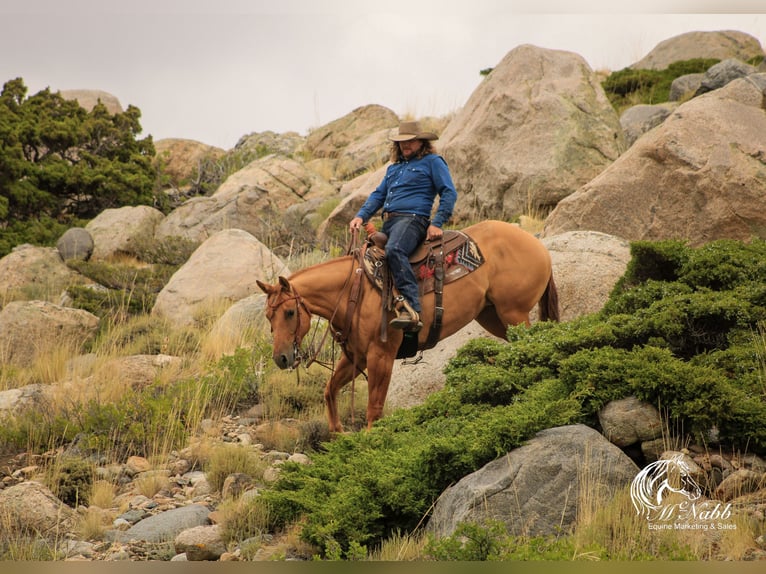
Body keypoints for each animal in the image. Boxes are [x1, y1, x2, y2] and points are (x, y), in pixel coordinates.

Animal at [258, 219, 560, 432]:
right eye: (268, 316)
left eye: (289, 312)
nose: (281, 358)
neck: (354, 292)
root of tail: (538, 246)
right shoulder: (356, 357)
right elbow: (329, 390)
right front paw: (338, 434)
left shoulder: (381, 356)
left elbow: (374, 409)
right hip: (493, 317)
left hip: (514, 313)